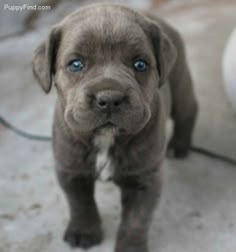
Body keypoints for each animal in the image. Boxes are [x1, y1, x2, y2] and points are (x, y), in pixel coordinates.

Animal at [31, 3, 197, 252]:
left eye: (140, 64)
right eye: (76, 64)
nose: (109, 98)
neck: (106, 139)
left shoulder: (144, 180)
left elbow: (136, 219)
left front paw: (130, 247)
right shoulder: (71, 171)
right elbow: (80, 204)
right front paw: (83, 231)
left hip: (179, 84)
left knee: (189, 110)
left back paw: (179, 145)